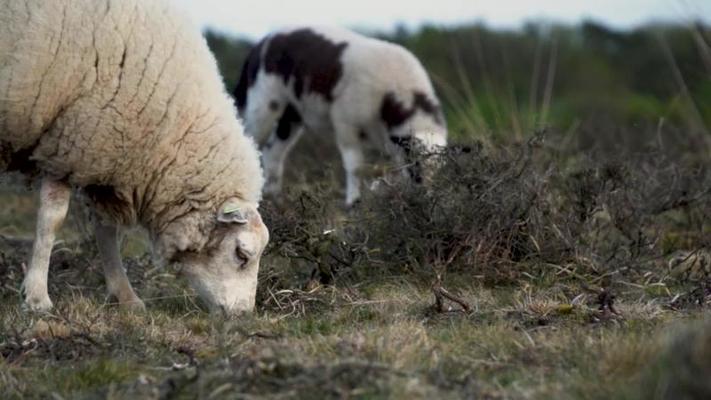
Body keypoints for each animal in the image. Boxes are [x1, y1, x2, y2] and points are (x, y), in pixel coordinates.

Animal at [0, 0, 270, 314]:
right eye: (241, 254)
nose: (243, 315)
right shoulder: (67, 143)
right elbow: (52, 219)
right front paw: (36, 297)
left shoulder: (100, 157)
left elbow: (107, 232)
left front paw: (126, 296)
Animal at [234, 26, 448, 205]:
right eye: (416, 167)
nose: (428, 198)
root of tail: (261, 43)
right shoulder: (346, 122)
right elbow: (355, 166)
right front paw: (354, 202)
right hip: (264, 101)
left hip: (291, 113)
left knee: (273, 152)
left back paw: (276, 200)